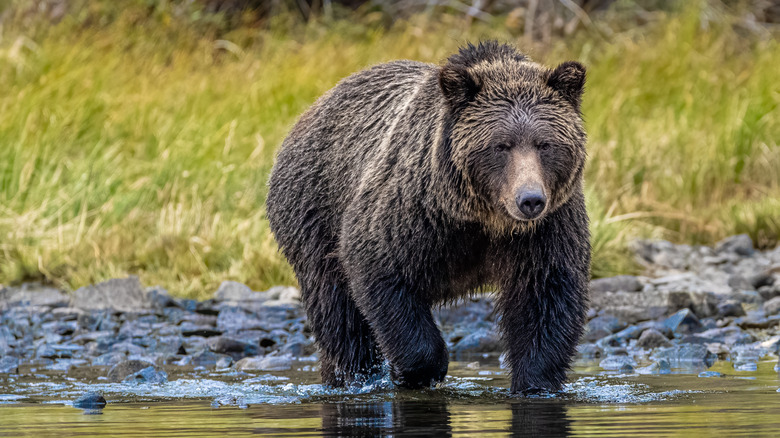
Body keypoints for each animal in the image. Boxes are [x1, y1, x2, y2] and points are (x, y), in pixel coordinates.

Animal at [266, 42, 588, 394]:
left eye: (545, 144)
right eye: (501, 145)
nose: (530, 200)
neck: (482, 219)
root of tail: (309, 112)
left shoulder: (547, 229)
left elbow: (546, 297)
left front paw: (535, 382)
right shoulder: (413, 213)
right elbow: (379, 268)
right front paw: (415, 371)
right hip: (313, 209)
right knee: (339, 314)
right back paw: (353, 377)